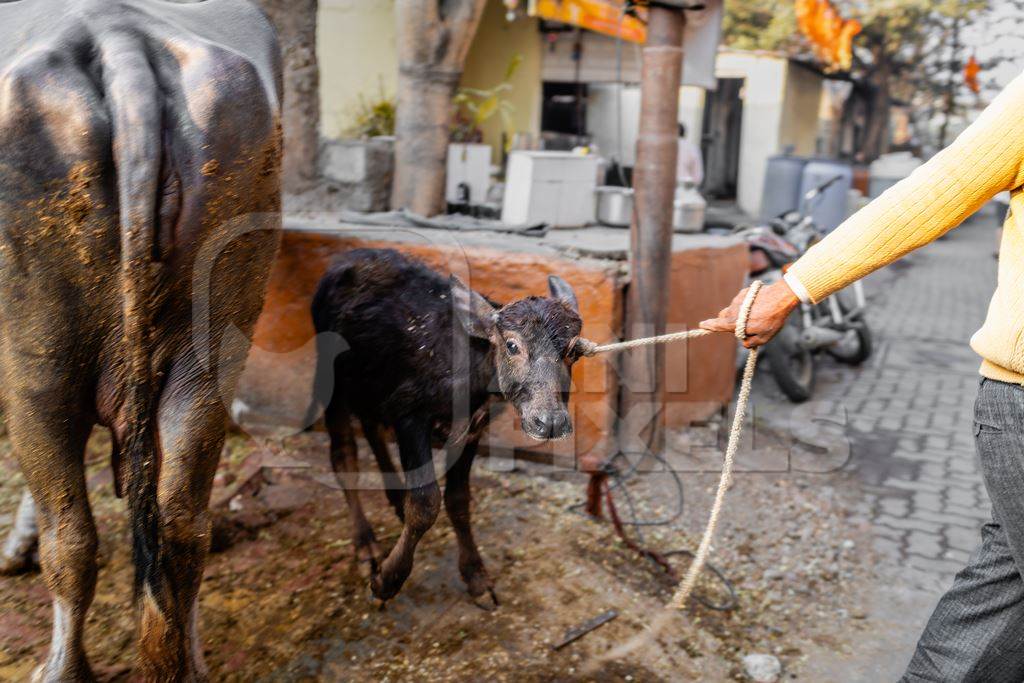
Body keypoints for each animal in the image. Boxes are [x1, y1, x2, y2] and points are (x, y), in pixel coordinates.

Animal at [0, 2, 282, 679]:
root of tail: (119, 36)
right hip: (208, 352)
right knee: (182, 522)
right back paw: (184, 659)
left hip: (37, 362)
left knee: (71, 534)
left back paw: (60, 668)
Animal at [303, 249, 585, 602]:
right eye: (511, 345)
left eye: (572, 350)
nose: (549, 421)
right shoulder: (410, 417)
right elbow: (425, 503)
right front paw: (388, 579)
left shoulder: (472, 430)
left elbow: (458, 500)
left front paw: (476, 576)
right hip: (335, 382)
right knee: (344, 454)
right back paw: (365, 542)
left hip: (371, 385)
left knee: (371, 428)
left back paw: (395, 498)